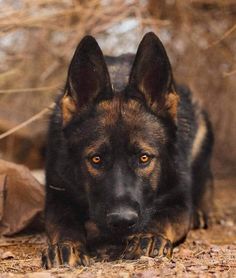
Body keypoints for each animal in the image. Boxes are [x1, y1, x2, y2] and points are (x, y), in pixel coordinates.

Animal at [42, 33, 214, 270]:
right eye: (96, 159)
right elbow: (64, 223)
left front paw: (150, 237)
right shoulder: (57, 199)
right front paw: (65, 245)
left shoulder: (179, 202)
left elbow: (164, 218)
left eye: (144, 157)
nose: (122, 221)